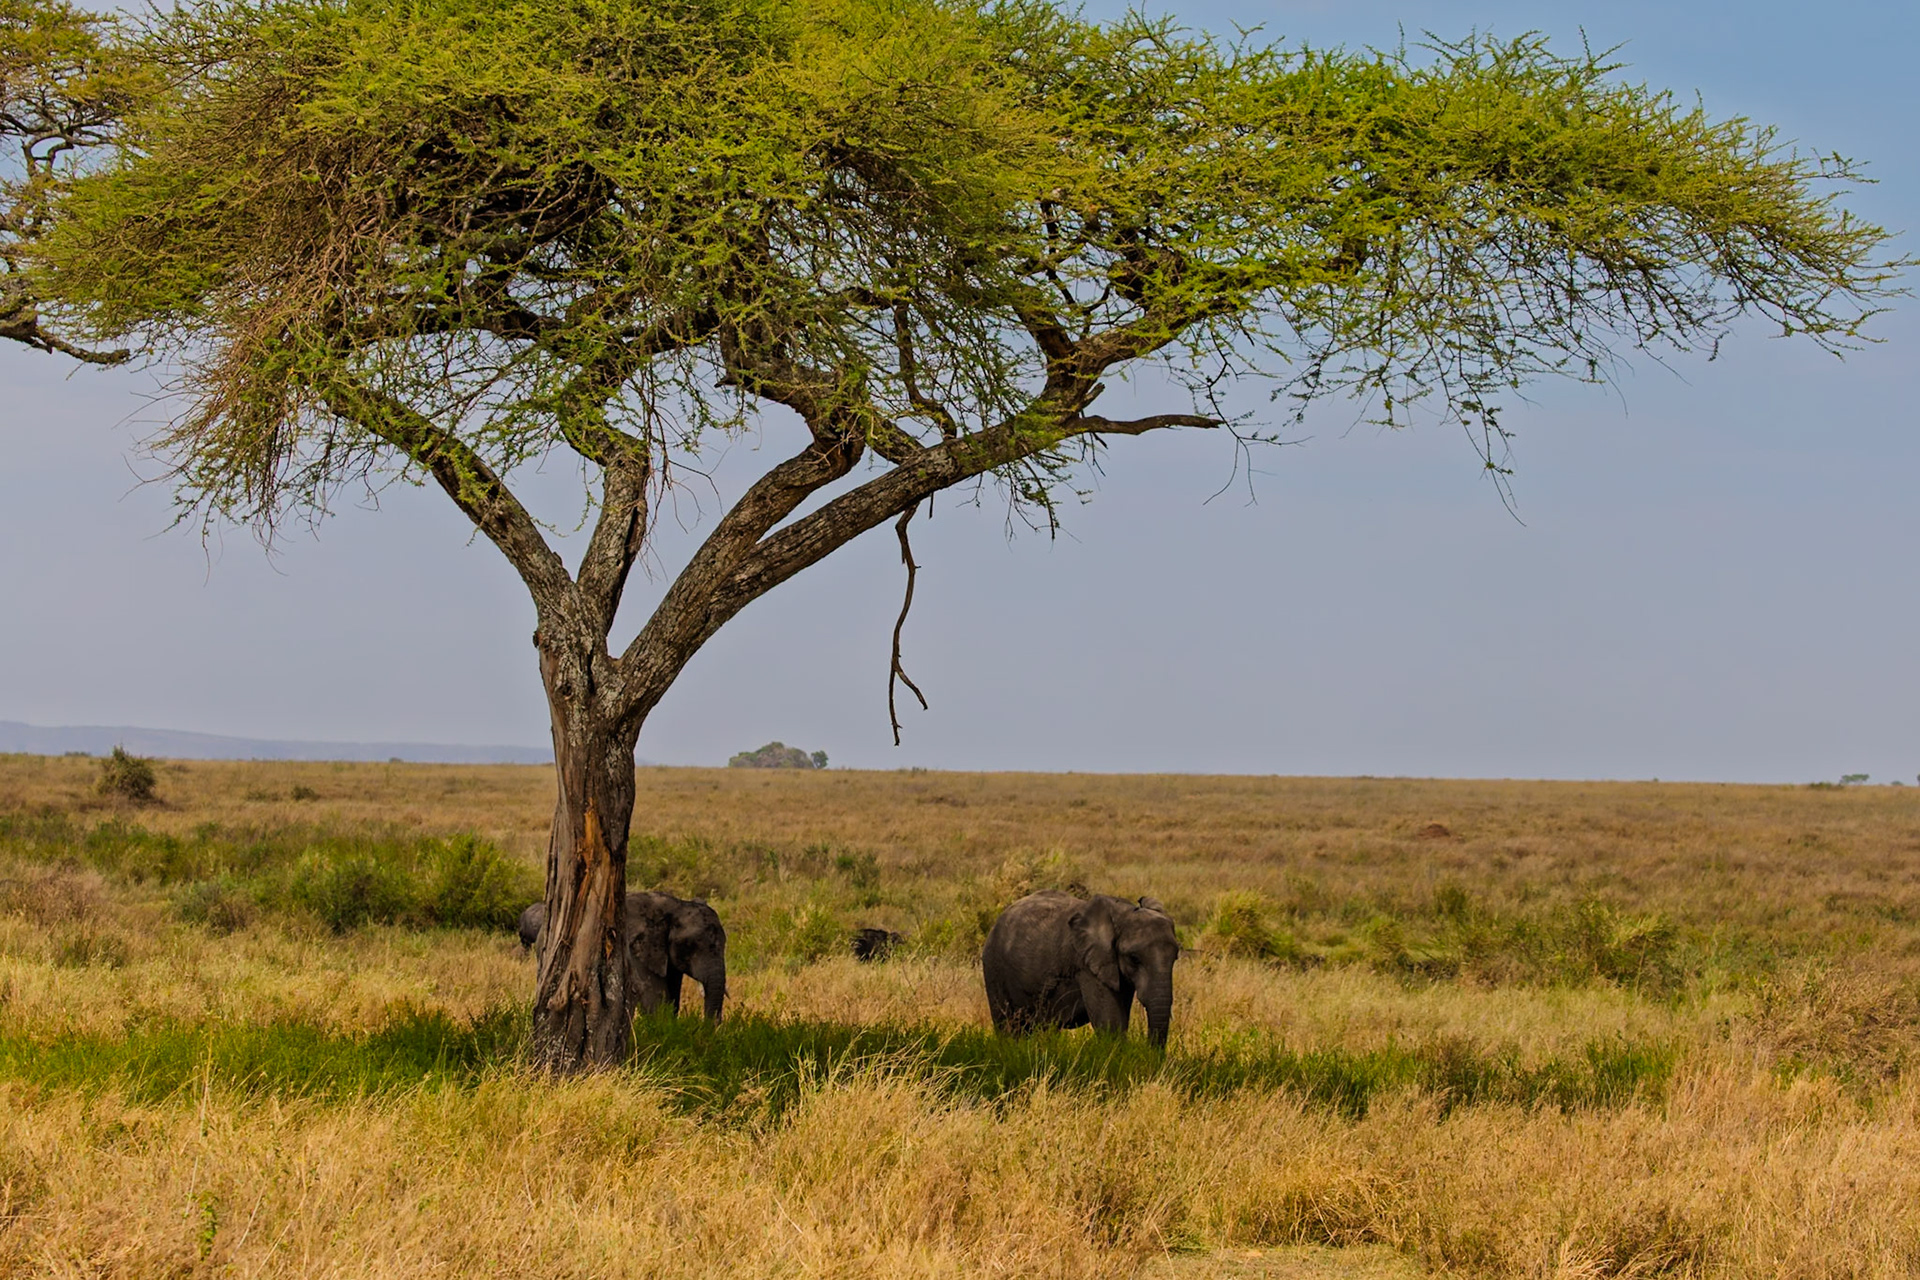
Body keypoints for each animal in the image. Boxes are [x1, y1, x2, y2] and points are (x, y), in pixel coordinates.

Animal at [981, 891, 1179, 1048]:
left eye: (1175, 957)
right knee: (1008, 1026)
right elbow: (1110, 1023)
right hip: (993, 967)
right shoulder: (1086, 964)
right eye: (1134, 959)